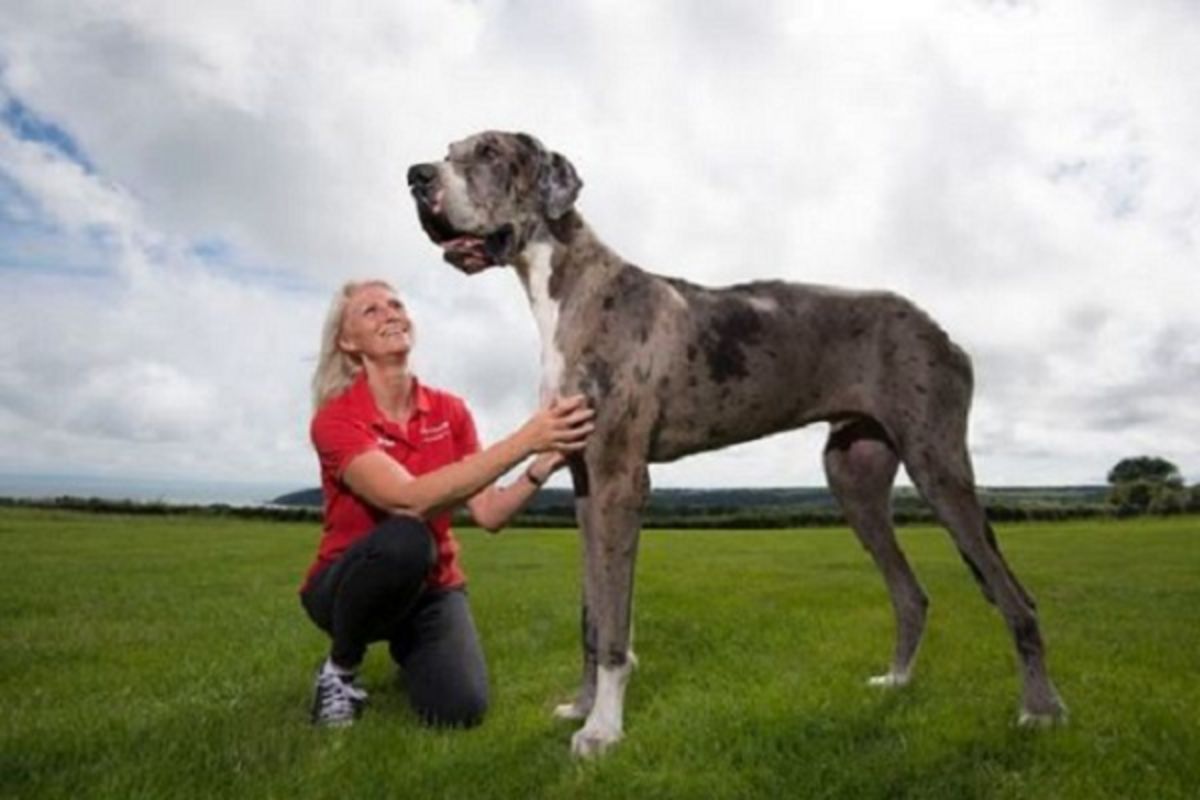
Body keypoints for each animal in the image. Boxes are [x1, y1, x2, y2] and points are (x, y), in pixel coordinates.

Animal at [407, 131, 1067, 757]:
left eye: (489, 151)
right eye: (448, 151)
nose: (416, 175)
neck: (567, 286)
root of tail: (942, 330)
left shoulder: (621, 478)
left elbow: (616, 626)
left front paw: (603, 732)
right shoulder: (584, 482)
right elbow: (591, 616)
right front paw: (582, 707)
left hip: (938, 465)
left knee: (1016, 598)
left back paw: (1040, 710)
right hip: (853, 477)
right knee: (912, 595)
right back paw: (897, 682)